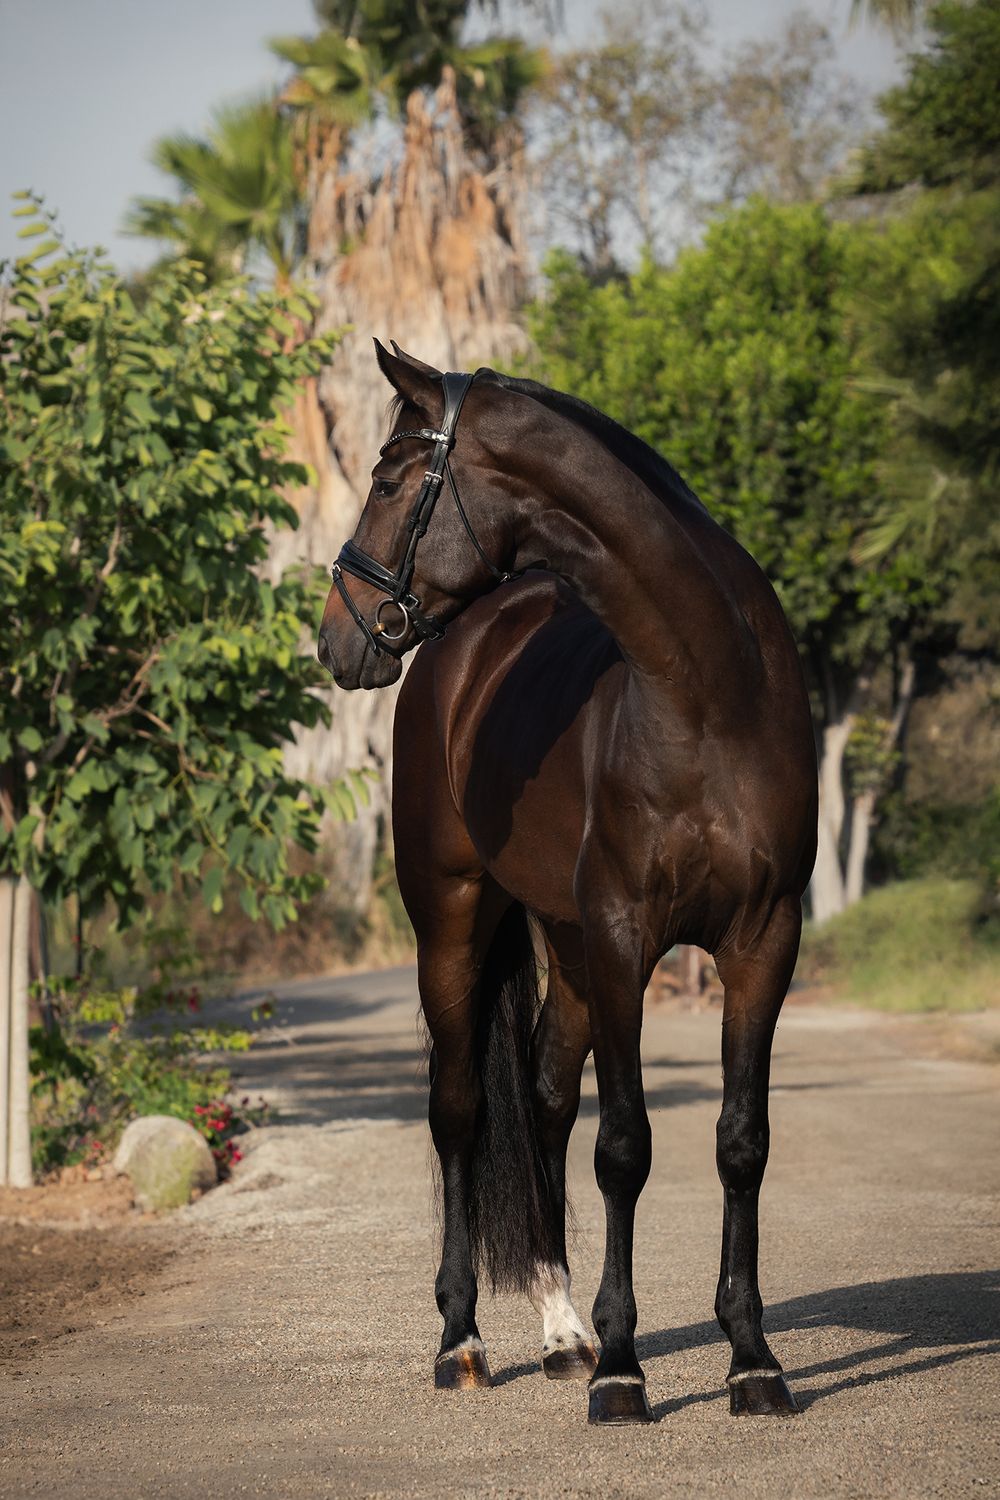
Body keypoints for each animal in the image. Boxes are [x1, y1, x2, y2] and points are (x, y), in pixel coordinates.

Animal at [317, 342, 818, 1424]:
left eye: (387, 479)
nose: (335, 638)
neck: (707, 693)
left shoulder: (762, 942)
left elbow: (741, 1142)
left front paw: (752, 1361)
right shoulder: (628, 939)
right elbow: (624, 1147)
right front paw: (627, 1373)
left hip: (572, 946)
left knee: (544, 1096)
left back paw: (561, 1331)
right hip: (456, 921)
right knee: (460, 1108)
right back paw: (462, 1340)